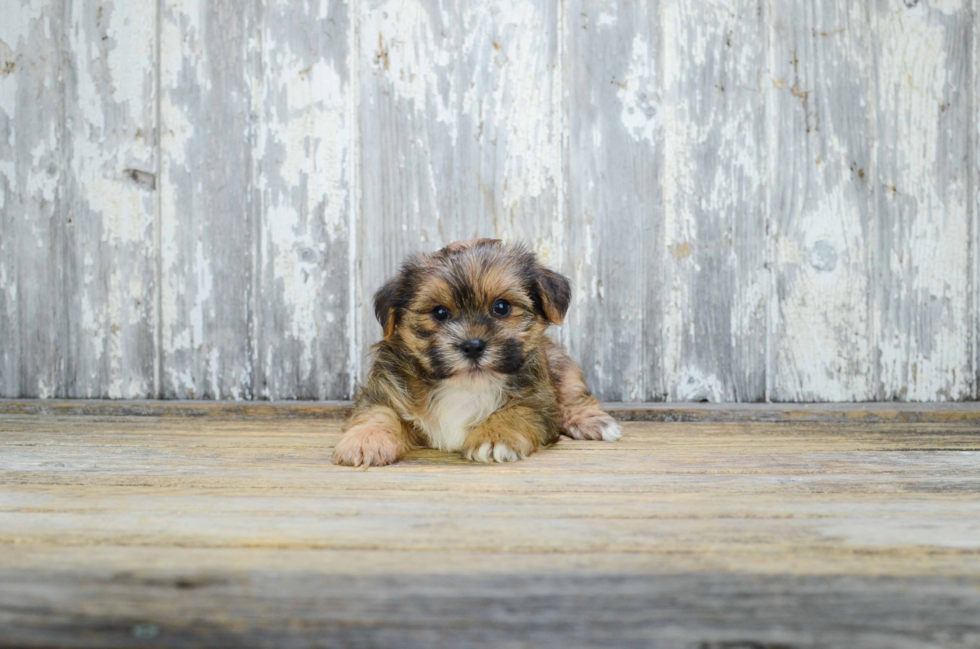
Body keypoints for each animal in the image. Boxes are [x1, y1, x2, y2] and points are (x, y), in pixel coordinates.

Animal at [330, 238, 620, 466]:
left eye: (501, 307)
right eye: (439, 313)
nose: (472, 345)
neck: (467, 385)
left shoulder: (538, 401)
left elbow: (518, 411)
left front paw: (495, 436)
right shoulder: (385, 389)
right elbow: (377, 412)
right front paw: (366, 439)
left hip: (562, 366)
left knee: (574, 397)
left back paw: (594, 422)